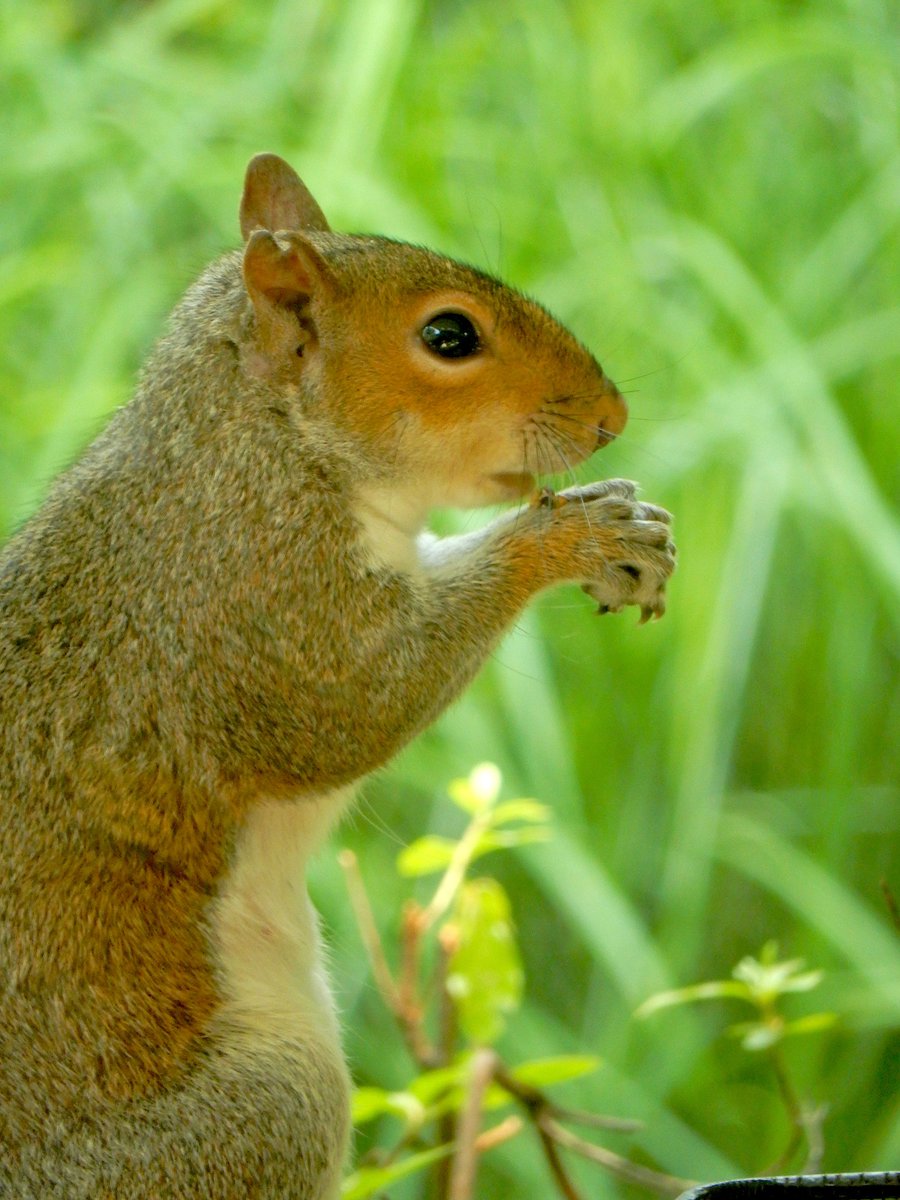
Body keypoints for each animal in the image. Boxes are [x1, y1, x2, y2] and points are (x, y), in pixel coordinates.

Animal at [0, 154, 676, 1195]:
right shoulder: (254, 607)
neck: (262, 448)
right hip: (268, 1110)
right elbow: (353, 708)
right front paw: (568, 538)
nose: (613, 418)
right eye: (449, 336)